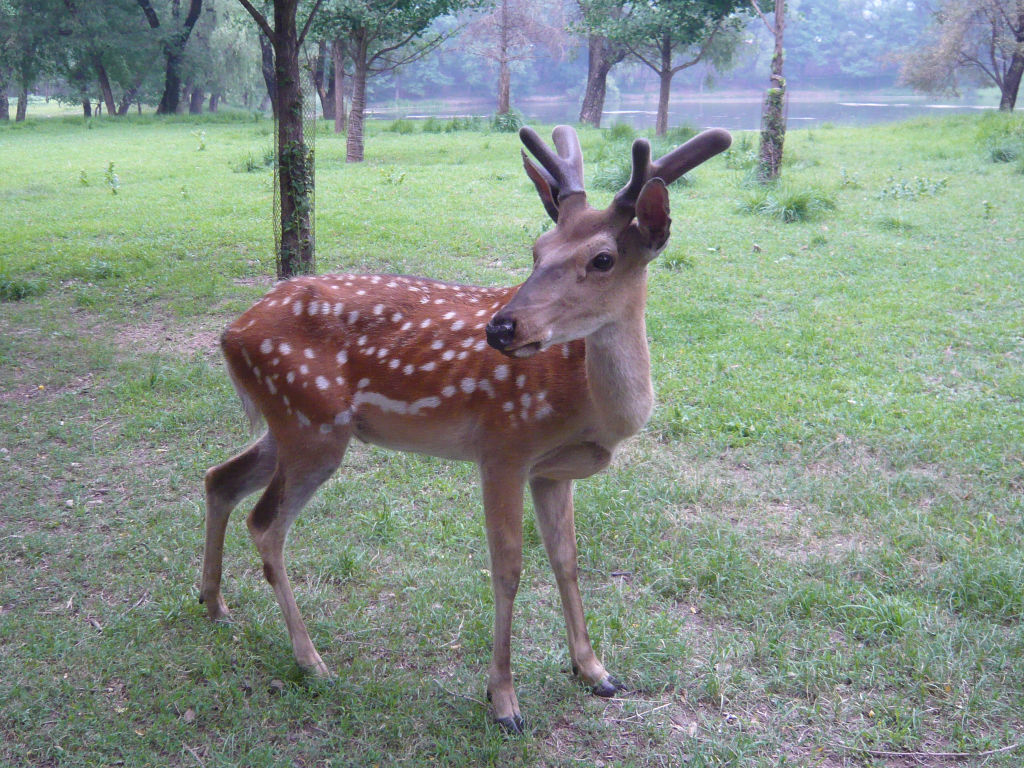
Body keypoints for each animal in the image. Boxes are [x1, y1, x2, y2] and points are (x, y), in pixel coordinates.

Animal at [199, 124, 731, 733]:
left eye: (603, 258)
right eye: (536, 250)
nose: (501, 328)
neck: (593, 408)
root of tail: (231, 333)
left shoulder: (552, 472)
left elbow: (567, 560)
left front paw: (594, 670)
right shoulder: (504, 445)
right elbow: (509, 568)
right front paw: (504, 700)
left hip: (293, 423)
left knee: (219, 477)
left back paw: (213, 603)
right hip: (311, 426)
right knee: (265, 523)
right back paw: (312, 661)